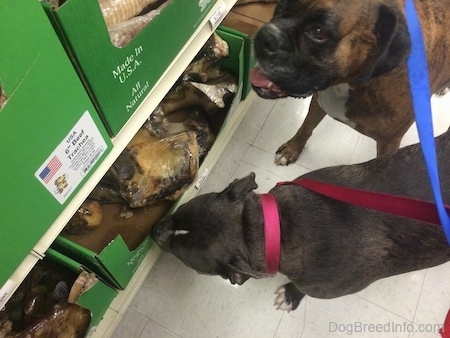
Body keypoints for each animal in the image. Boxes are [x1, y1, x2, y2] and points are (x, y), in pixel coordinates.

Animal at [153, 129, 450, 312]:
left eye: (178, 253)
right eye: (178, 213)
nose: (154, 229)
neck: (273, 228)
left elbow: (300, 286)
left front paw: (291, 294)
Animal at [250, 0, 450, 165]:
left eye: (318, 32)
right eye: (282, 4)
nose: (266, 35)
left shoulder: (389, 144)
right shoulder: (320, 103)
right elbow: (306, 126)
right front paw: (293, 148)